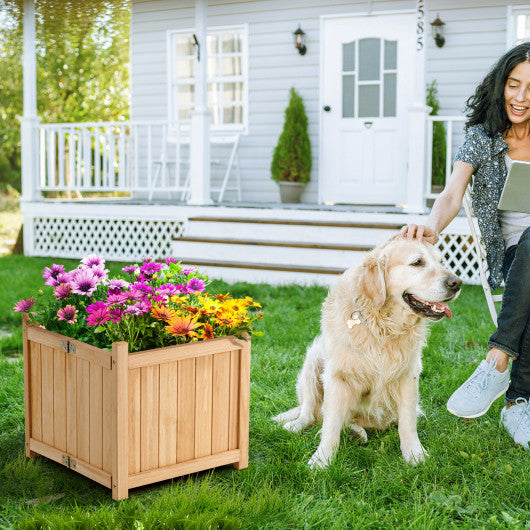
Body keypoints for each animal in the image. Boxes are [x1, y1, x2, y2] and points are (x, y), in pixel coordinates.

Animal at [272, 239, 458, 466]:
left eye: (442, 262)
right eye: (417, 262)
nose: (457, 283)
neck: (382, 325)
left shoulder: (408, 376)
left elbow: (407, 422)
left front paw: (414, 454)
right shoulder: (338, 377)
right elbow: (331, 424)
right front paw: (322, 460)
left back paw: (356, 432)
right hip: (313, 361)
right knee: (311, 413)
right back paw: (297, 426)